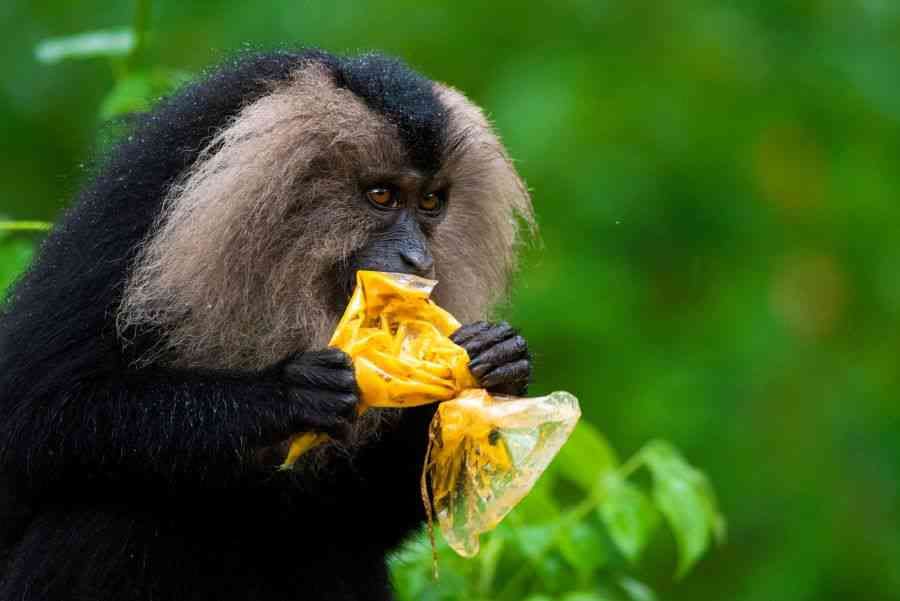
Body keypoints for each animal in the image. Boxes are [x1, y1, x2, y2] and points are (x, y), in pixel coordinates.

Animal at [0, 49, 536, 596]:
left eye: (430, 202)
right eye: (382, 195)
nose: (418, 258)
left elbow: (351, 520)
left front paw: (498, 363)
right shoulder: (126, 225)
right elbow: (27, 418)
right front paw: (287, 393)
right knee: (103, 512)